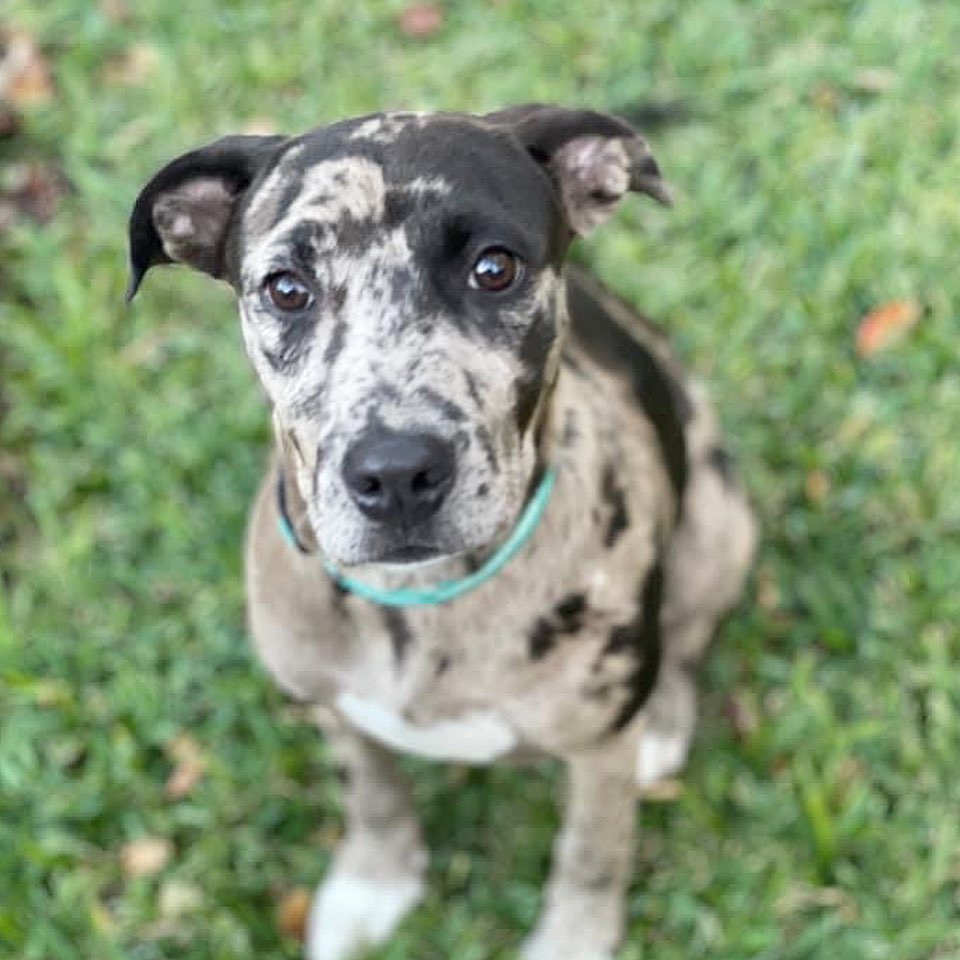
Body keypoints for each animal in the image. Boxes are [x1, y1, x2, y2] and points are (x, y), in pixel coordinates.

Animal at [127, 107, 756, 960]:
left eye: (495, 269)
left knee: (687, 634)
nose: (396, 474)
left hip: (720, 521)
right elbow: (373, 794)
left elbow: (592, 853)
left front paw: (572, 938)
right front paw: (375, 881)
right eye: (286, 288)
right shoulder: (331, 707)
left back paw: (662, 717)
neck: (424, 599)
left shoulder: (597, 755)